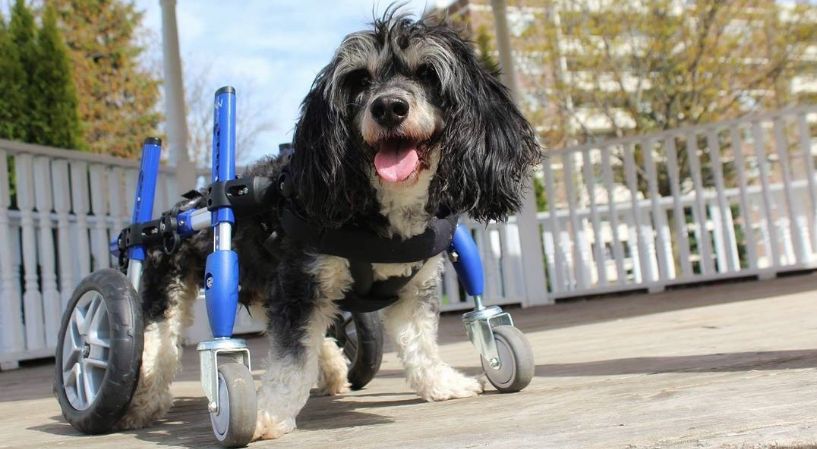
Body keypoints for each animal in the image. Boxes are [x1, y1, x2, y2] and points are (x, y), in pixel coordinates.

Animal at [113, 9, 540, 438]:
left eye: (427, 74)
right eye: (360, 81)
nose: (389, 107)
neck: (384, 211)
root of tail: (190, 205)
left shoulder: (411, 289)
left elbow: (419, 342)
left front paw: (441, 382)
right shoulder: (303, 283)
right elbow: (290, 359)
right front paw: (267, 413)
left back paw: (334, 370)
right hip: (172, 284)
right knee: (158, 344)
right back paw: (138, 404)